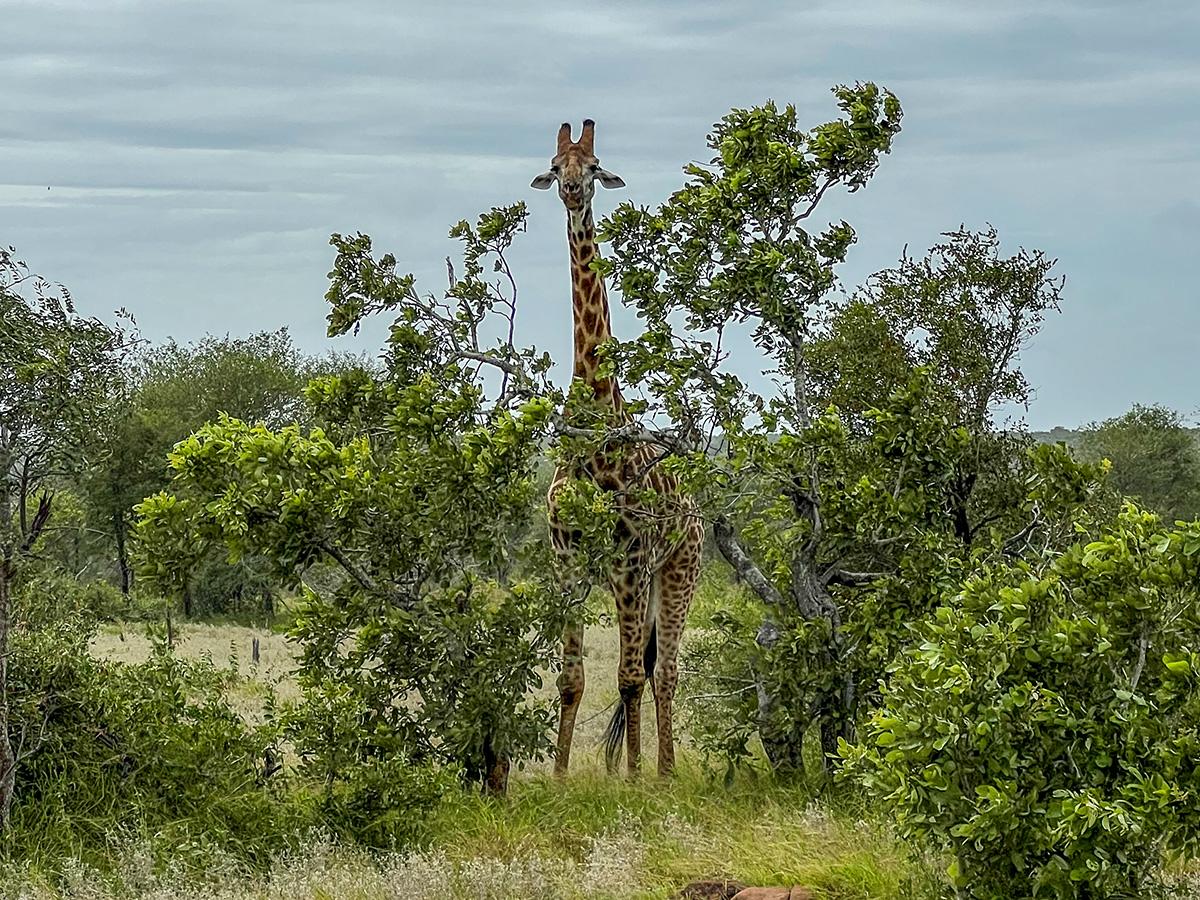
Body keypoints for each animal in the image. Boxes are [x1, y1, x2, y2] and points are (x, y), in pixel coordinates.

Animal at [531, 119, 703, 777]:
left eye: (596, 164)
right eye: (555, 166)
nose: (573, 192)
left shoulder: (631, 557)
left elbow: (628, 676)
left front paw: (630, 780)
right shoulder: (567, 556)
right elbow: (571, 679)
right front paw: (558, 779)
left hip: (679, 572)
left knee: (664, 672)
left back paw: (664, 771)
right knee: (652, 669)